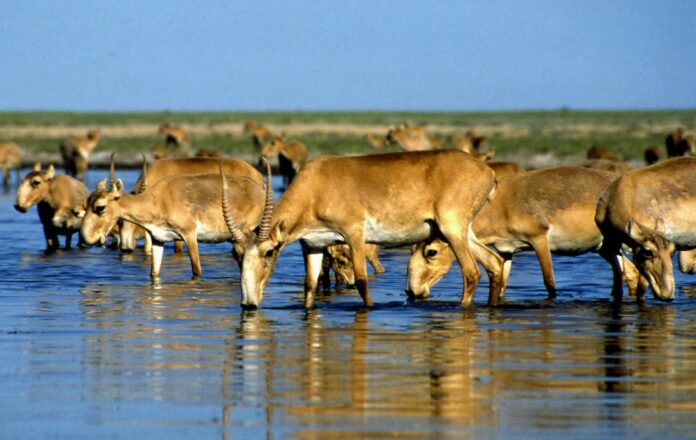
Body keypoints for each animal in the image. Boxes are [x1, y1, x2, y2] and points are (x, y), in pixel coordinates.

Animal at [224, 150, 498, 310]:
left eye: (269, 252)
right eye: (237, 254)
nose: (248, 303)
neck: (316, 184)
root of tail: (488, 171)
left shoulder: (354, 235)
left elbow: (362, 281)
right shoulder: (313, 245)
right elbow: (309, 285)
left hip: (452, 230)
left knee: (472, 272)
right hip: (463, 232)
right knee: (494, 263)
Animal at [407, 166, 641, 304]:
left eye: (431, 252)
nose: (410, 291)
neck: (499, 205)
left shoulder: (539, 241)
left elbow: (549, 282)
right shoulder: (506, 251)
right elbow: (502, 285)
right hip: (605, 248)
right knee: (628, 273)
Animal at [595, 157, 696, 302]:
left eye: (672, 251)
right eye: (648, 252)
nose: (667, 294)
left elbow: (641, 290)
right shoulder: (612, 246)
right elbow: (617, 289)